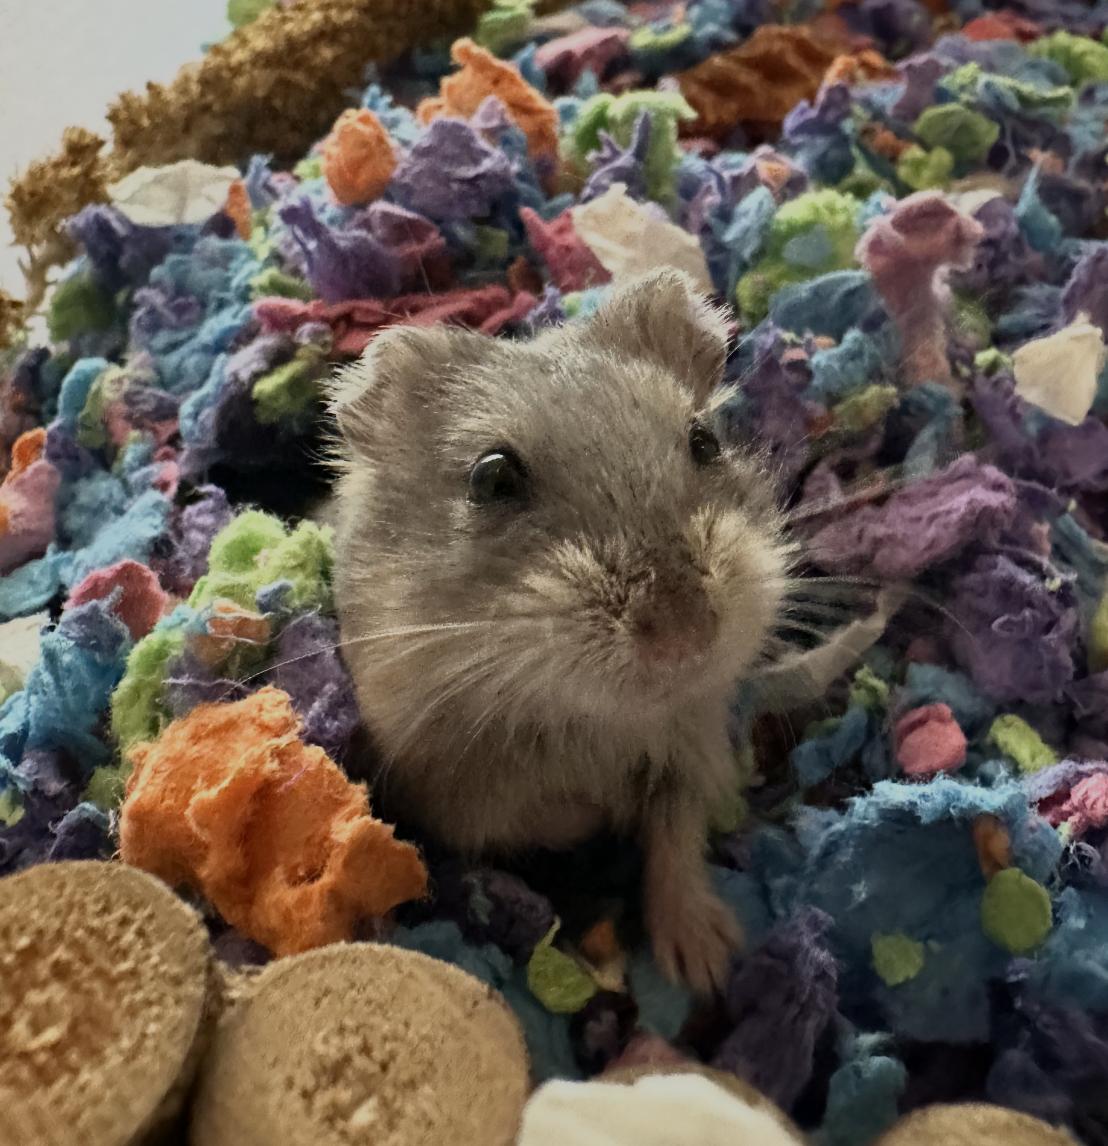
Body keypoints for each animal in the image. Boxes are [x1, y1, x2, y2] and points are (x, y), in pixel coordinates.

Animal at [329, 269, 794, 993]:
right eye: (491, 477)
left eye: (704, 441)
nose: (685, 635)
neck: (589, 723)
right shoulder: (448, 791)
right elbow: (548, 816)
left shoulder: (693, 752)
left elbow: (675, 834)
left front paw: (706, 963)